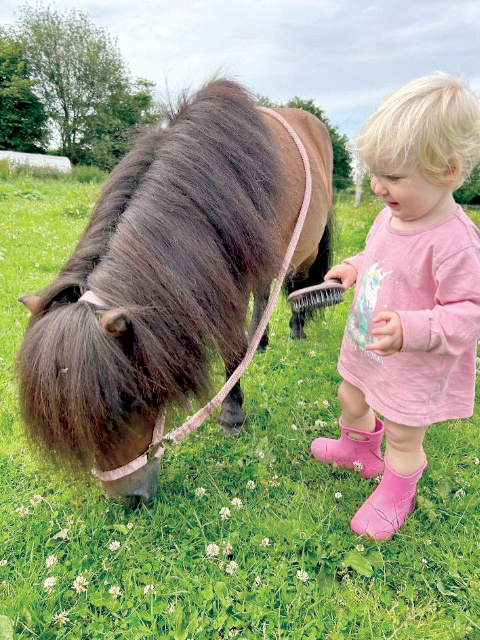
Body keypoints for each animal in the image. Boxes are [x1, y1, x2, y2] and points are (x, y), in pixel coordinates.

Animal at [16, 78, 333, 508]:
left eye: (129, 401)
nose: (126, 501)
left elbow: (233, 349)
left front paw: (232, 416)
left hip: (306, 247)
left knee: (296, 287)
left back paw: (295, 328)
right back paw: (263, 339)